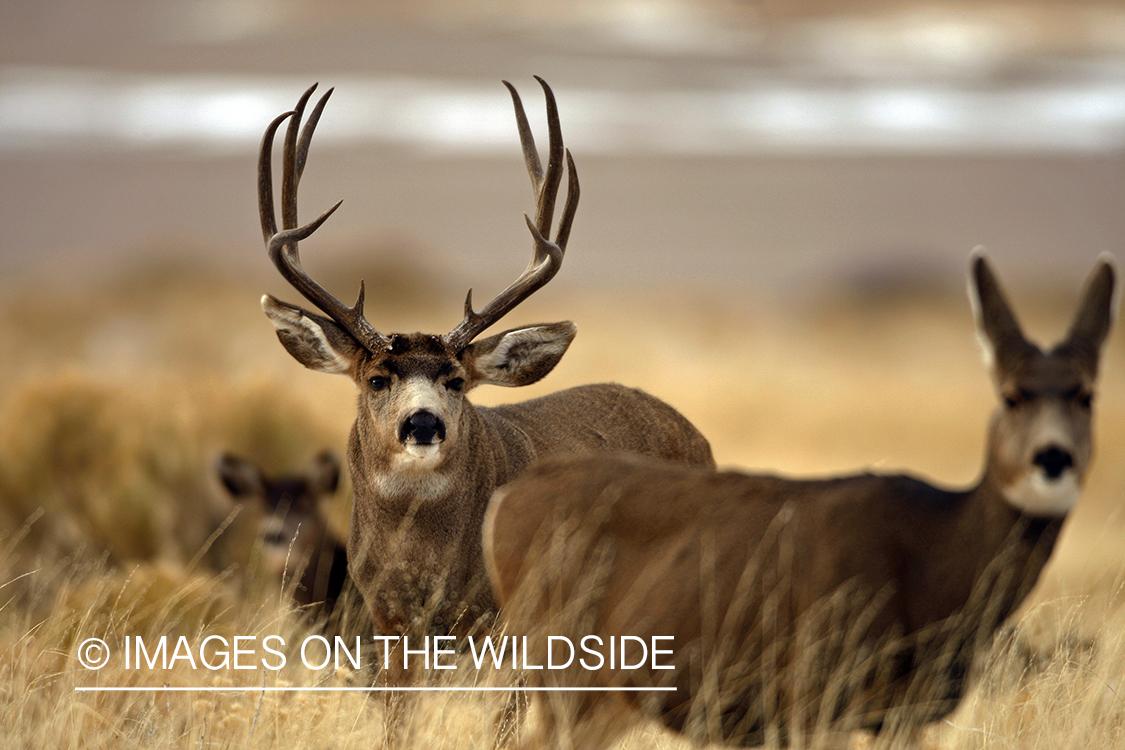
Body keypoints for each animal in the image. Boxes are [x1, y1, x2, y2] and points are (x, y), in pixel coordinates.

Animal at [256, 79, 715, 665]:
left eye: (456, 380)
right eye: (377, 378)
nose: (423, 423)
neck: (424, 565)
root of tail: (697, 436)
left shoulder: (506, 624)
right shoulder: (387, 623)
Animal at [483, 253, 1116, 749]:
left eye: (1087, 395)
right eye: (1010, 395)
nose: (1052, 460)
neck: (934, 547)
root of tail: (508, 501)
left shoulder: (900, 714)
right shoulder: (814, 691)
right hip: (566, 667)